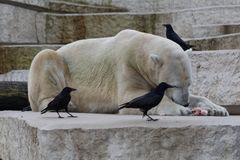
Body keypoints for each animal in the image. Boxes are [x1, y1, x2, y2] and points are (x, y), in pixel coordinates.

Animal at [28, 29, 229, 115]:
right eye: (175, 84)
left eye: (189, 83)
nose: (185, 102)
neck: (139, 47)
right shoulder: (126, 65)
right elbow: (132, 96)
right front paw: (179, 110)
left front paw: (216, 109)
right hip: (58, 64)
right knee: (44, 58)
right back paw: (66, 104)